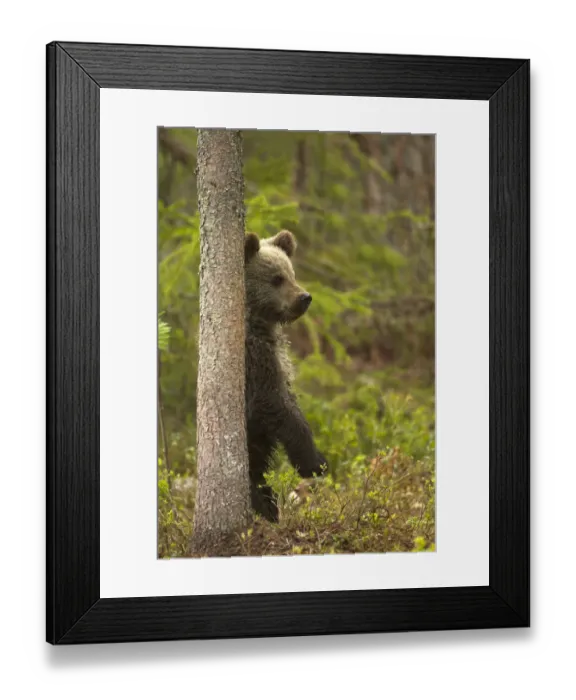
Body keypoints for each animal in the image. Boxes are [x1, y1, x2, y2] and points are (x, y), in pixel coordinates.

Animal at [244, 229, 328, 522]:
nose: (305, 297)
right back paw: (264, 506)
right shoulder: (256, 362)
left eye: (291, 273)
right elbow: (277, 405)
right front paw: (315, 462)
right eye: (276, 278)